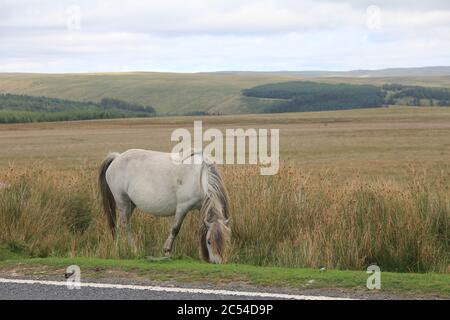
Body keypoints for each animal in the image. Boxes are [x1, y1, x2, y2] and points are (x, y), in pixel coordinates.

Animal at [99, 149, 232, 264]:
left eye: (227, 240)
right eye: (209, 241)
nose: (217, 262)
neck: (200, 177)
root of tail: (117, 157)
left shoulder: (201, 207)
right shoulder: (183, 207)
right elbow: (175, 229)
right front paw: (167, 251)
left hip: (130, 204)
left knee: (120, 225)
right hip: (123, 202)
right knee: (124, 226)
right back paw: (132, 250)